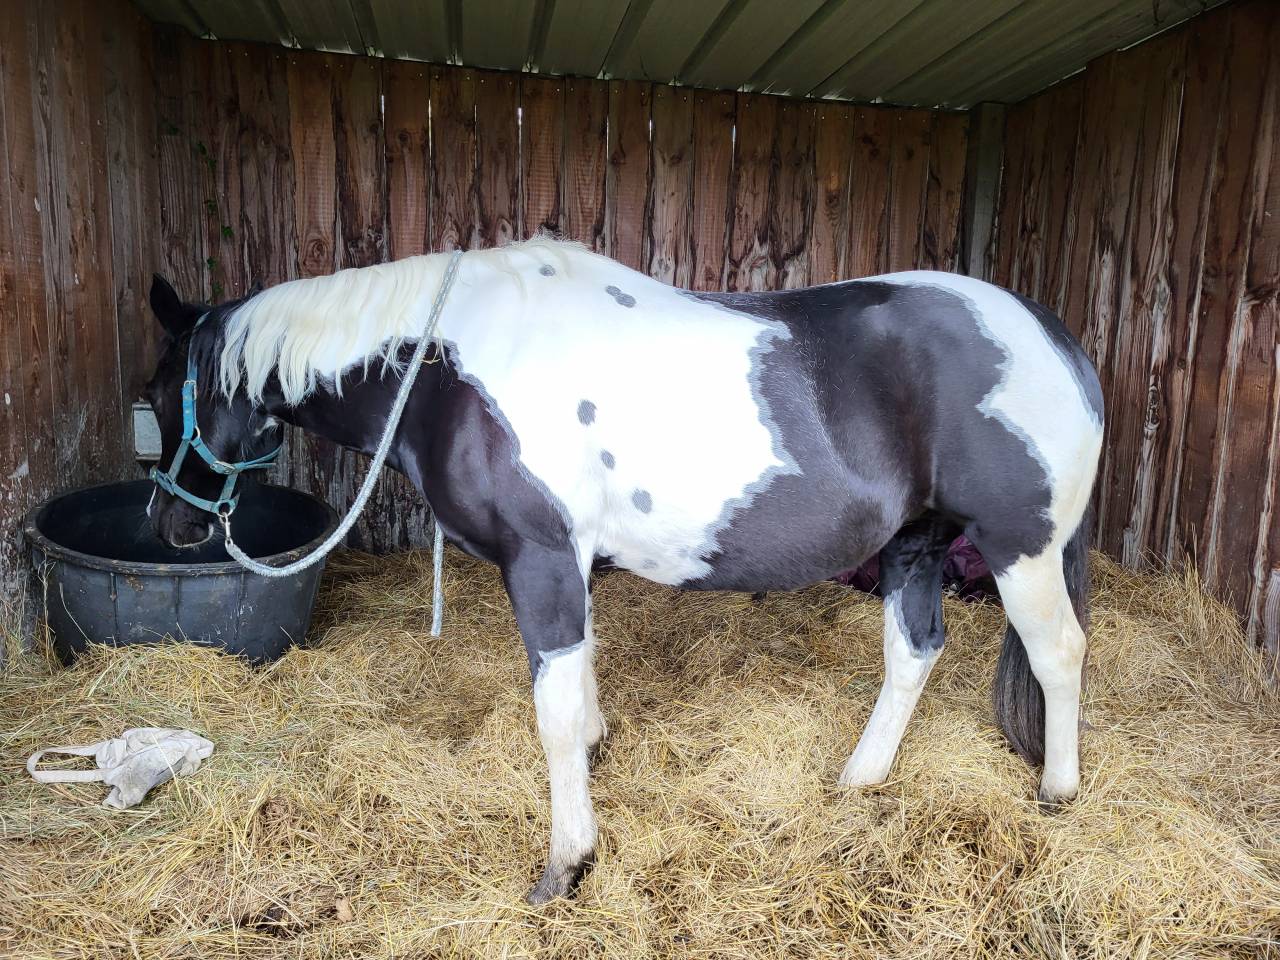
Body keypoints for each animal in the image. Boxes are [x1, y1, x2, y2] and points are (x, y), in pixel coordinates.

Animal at [144, 236, 1104, 904]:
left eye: (158, 397)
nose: (171, 527)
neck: (451, 367)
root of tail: (1056, 340)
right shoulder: (572, 566)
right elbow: (584, 686)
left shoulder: (541, 561)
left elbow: (555, 715)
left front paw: (566, 865)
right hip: (916, 543)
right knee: (914, 652)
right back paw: (859, 781)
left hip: (1019, 546)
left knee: (1059, 653)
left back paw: (1058, 791)